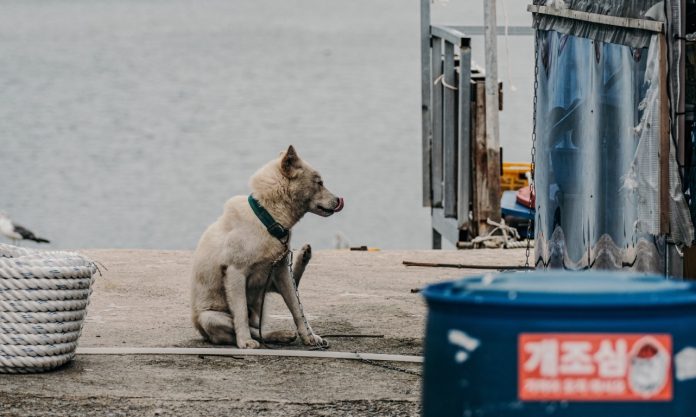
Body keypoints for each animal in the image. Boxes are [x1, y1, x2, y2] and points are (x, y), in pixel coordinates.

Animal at [190, 145, 342, 346]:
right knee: (251, 329)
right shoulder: (235, 273)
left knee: (262, 325)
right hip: (211, 318)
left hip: (267, 289)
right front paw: (245, 342)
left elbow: (297, 309)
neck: (268, 219)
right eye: (319, 183)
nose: (339, 200)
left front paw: (309, 336)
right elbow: (241, 315)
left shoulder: (282, 271)